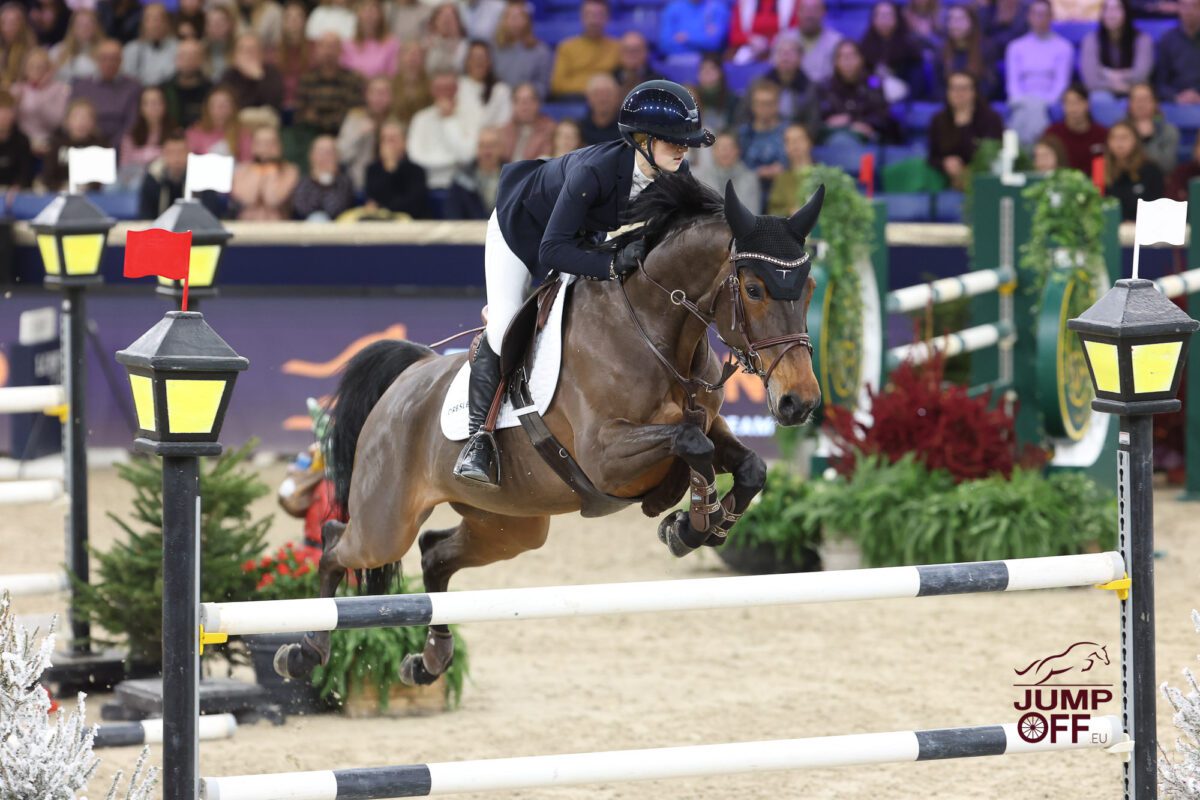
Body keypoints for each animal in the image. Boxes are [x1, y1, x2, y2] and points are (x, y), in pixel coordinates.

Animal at [275, 172, 827, 687]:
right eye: (753, 289)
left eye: (810, 289)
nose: (799, 402)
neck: (655, 333)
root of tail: (409, 376)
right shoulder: (606, 456)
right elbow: (692, 445)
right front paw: (689, 522)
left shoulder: (710, 420)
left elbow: (746, 464)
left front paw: (701, 526)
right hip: (387, 523)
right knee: (336, 542)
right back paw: (305, 651)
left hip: (510, 525)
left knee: (433, 553)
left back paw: (429, 661)